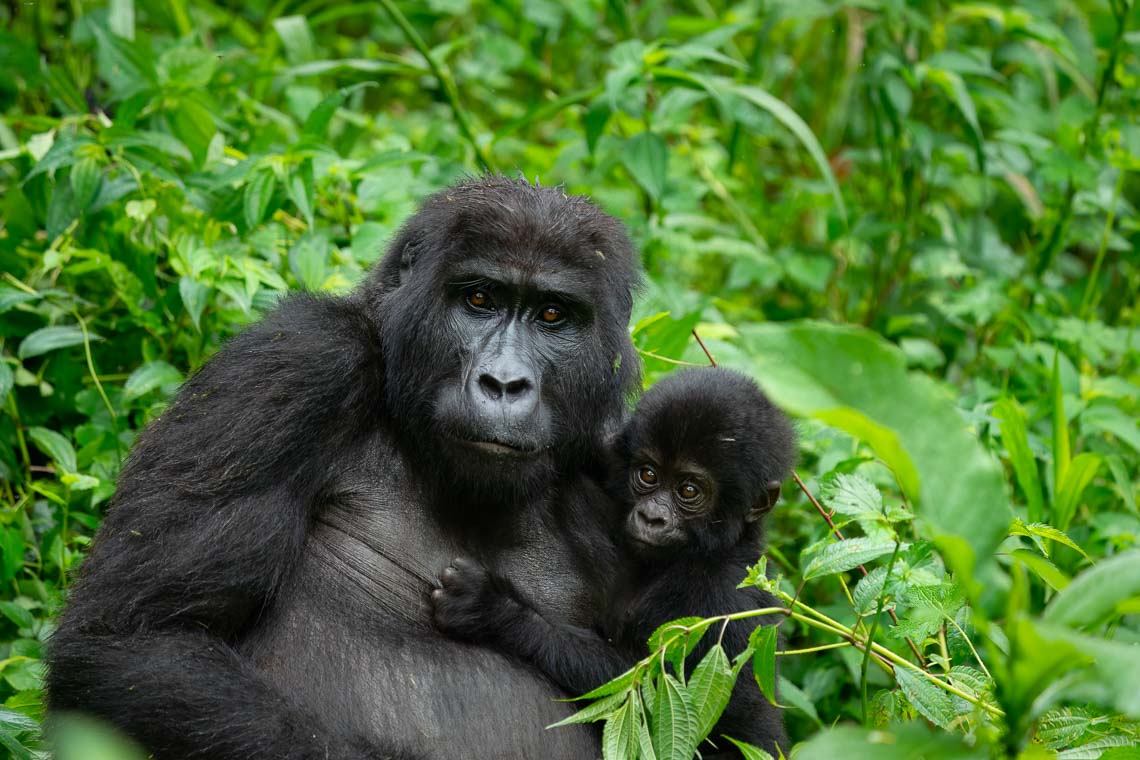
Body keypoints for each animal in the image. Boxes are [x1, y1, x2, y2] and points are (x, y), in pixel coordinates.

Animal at [430, 369, 798, 756]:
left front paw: (494, 608)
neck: (719, 546)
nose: (652, 518)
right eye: (648, 475)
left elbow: (649, 698)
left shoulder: (720, 597)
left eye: (689, 491)